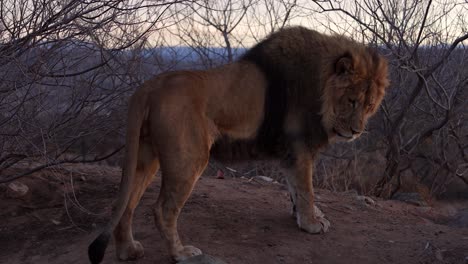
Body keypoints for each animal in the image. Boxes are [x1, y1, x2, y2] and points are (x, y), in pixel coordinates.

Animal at [87, 25, 388, 262]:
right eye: (351, 101)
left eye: (369, 105)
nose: (357, 131)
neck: (320, 85)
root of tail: (148, 87)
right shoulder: (300, 148)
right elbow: (306, 191)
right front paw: (311, 224)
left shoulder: (291, 154)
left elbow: (295, 190)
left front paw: (303, 218)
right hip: (189, 158)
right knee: (162, 210)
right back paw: (181, 254)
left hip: (146, 158)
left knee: (125, 204)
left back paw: (128, 251)